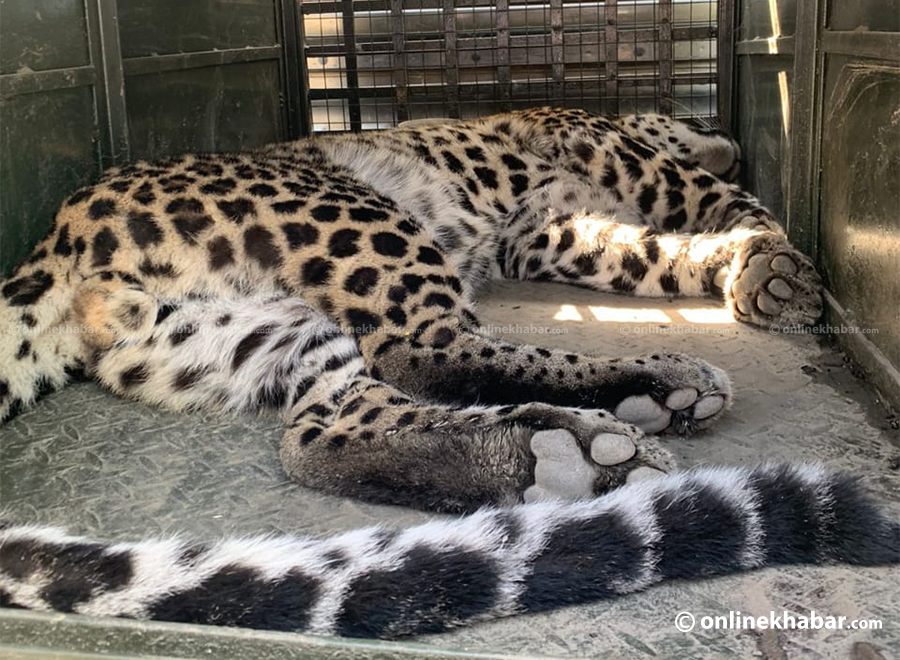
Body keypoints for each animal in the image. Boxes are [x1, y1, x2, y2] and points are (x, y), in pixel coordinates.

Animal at [3, 109, 888, 640]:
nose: (725, 134)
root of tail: (56, 244)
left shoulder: (552, 231)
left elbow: (654, 253)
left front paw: (737, 263)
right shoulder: (602, 148)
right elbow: (710, 197)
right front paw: (772, 259)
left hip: (251, 334)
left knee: (319, 435)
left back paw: (549, 452)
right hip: (355, 213)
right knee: (423, 346)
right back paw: (650, 389)